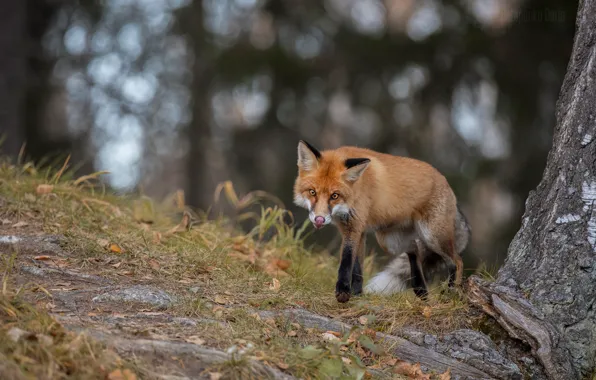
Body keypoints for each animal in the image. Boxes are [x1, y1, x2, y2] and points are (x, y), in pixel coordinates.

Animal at [294, 140, 470, 302]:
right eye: (312, 192)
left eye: (334, 196)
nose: (319, 219)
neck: (355, 189)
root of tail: (446, 182)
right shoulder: (355, 229)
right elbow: (357, 268)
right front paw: (357, 294)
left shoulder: (354, 226)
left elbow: (346, 261)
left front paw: (343, 292)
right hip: (391, 242)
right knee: (415, 250)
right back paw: (422, 292)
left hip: (432, 237)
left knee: (457, 261)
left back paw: (451, 293)